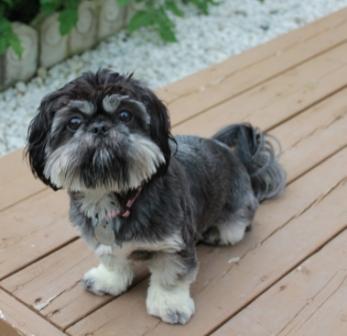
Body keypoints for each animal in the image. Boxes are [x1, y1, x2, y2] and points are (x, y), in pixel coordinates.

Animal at [26, 69, 286, 326]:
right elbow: (113, 260)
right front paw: (108, 280)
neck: (117, 198)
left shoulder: (173, 244)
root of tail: (238, 160)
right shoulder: (104, 241)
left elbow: (170, 276)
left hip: (236, 215)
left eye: (125, 114)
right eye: (74, 122)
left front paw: (170, 305)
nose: (100, 127)